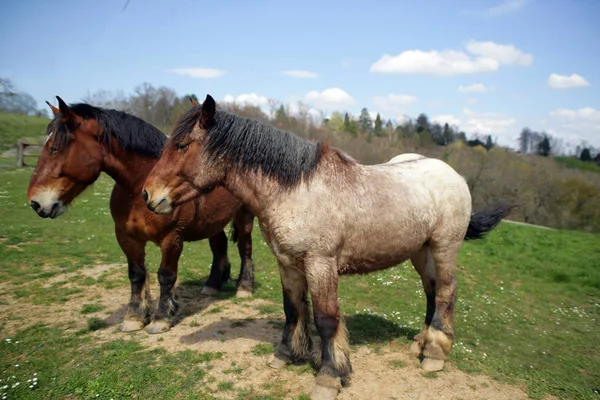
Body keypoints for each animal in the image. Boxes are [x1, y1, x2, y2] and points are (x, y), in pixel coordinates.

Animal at [26, 96, 255, 334]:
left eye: (55, 148)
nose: (35, 202)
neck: (138, 189)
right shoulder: (127, 237)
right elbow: (136, 275)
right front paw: (135, 317)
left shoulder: (172, 238)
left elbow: (166, 276)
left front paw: (161, 317)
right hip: (214, 222)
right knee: (219, 246)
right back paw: (212, 284)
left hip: (245, 216)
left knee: (245, 248)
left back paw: (244, 287)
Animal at [143, 94, 512, 400]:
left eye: (182, 144)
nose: (148, 195)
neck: (295, 189)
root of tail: (455, 176)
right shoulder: (287, 262)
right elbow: (293, 310)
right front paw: (285, 355)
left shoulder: (320, 264)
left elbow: (326, 319)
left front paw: (329, 377)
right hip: (421, 252)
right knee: (432, 292)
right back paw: (421, 343)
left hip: (444, 248)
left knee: (447, 292)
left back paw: (434, 354)